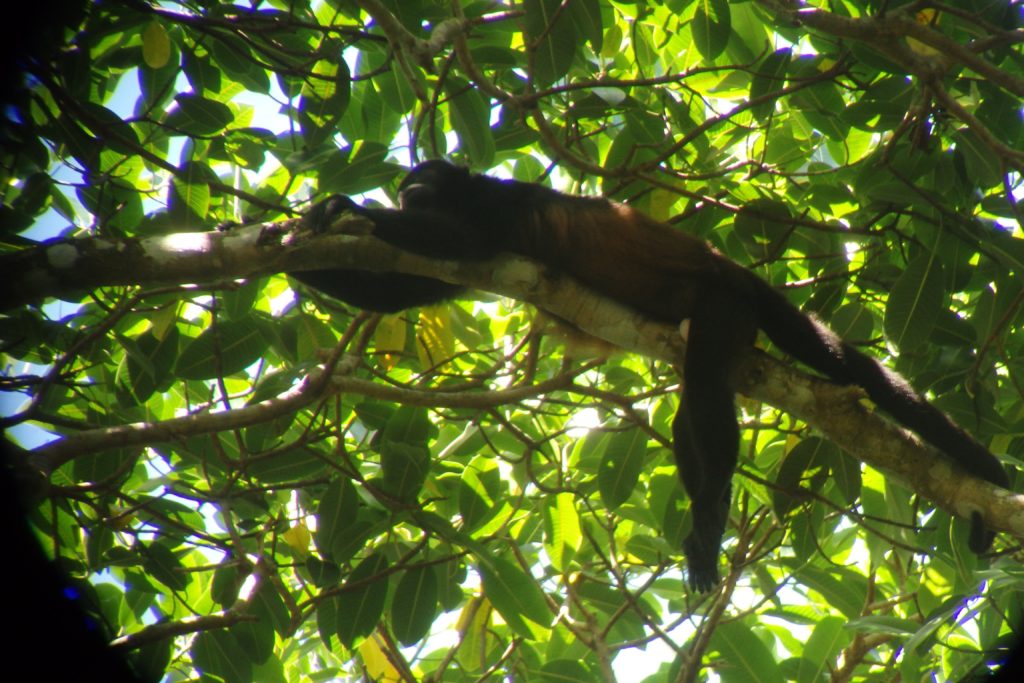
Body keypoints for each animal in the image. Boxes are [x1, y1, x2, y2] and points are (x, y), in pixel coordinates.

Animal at [288, 161, 1007, 593]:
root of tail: (733, 269)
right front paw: (299, 257)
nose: (404, 190)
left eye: (421, 179)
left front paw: (342, 207)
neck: (474, 189)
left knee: (723, 393)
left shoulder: (497, 209)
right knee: (694, 416)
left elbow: (450, 243)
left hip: (724, 305)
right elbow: (401, 291)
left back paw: (712, 511)